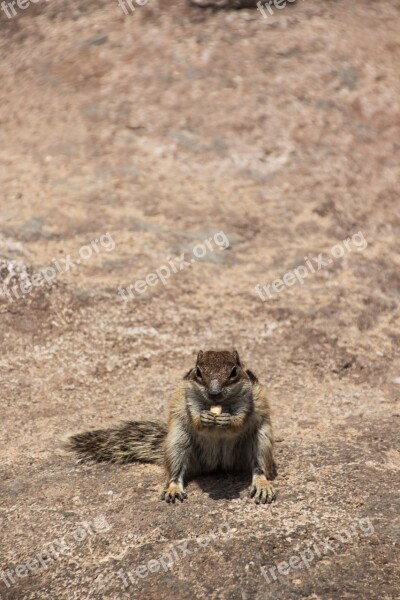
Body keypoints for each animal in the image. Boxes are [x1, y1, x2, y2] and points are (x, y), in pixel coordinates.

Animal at [69, 350, 276, 504]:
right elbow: (195, 419)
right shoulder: (188, 399)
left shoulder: (248, 401)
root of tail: (217, 464)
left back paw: (262, 485)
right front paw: (204, 418)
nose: (214, 392)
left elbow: (240, 419)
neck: (219, 405)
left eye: (233, 372)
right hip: (177, 442)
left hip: (261, 440)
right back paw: (173, 489)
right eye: (198, 371)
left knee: (259, 468)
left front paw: (228, 420)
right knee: (175, 472)